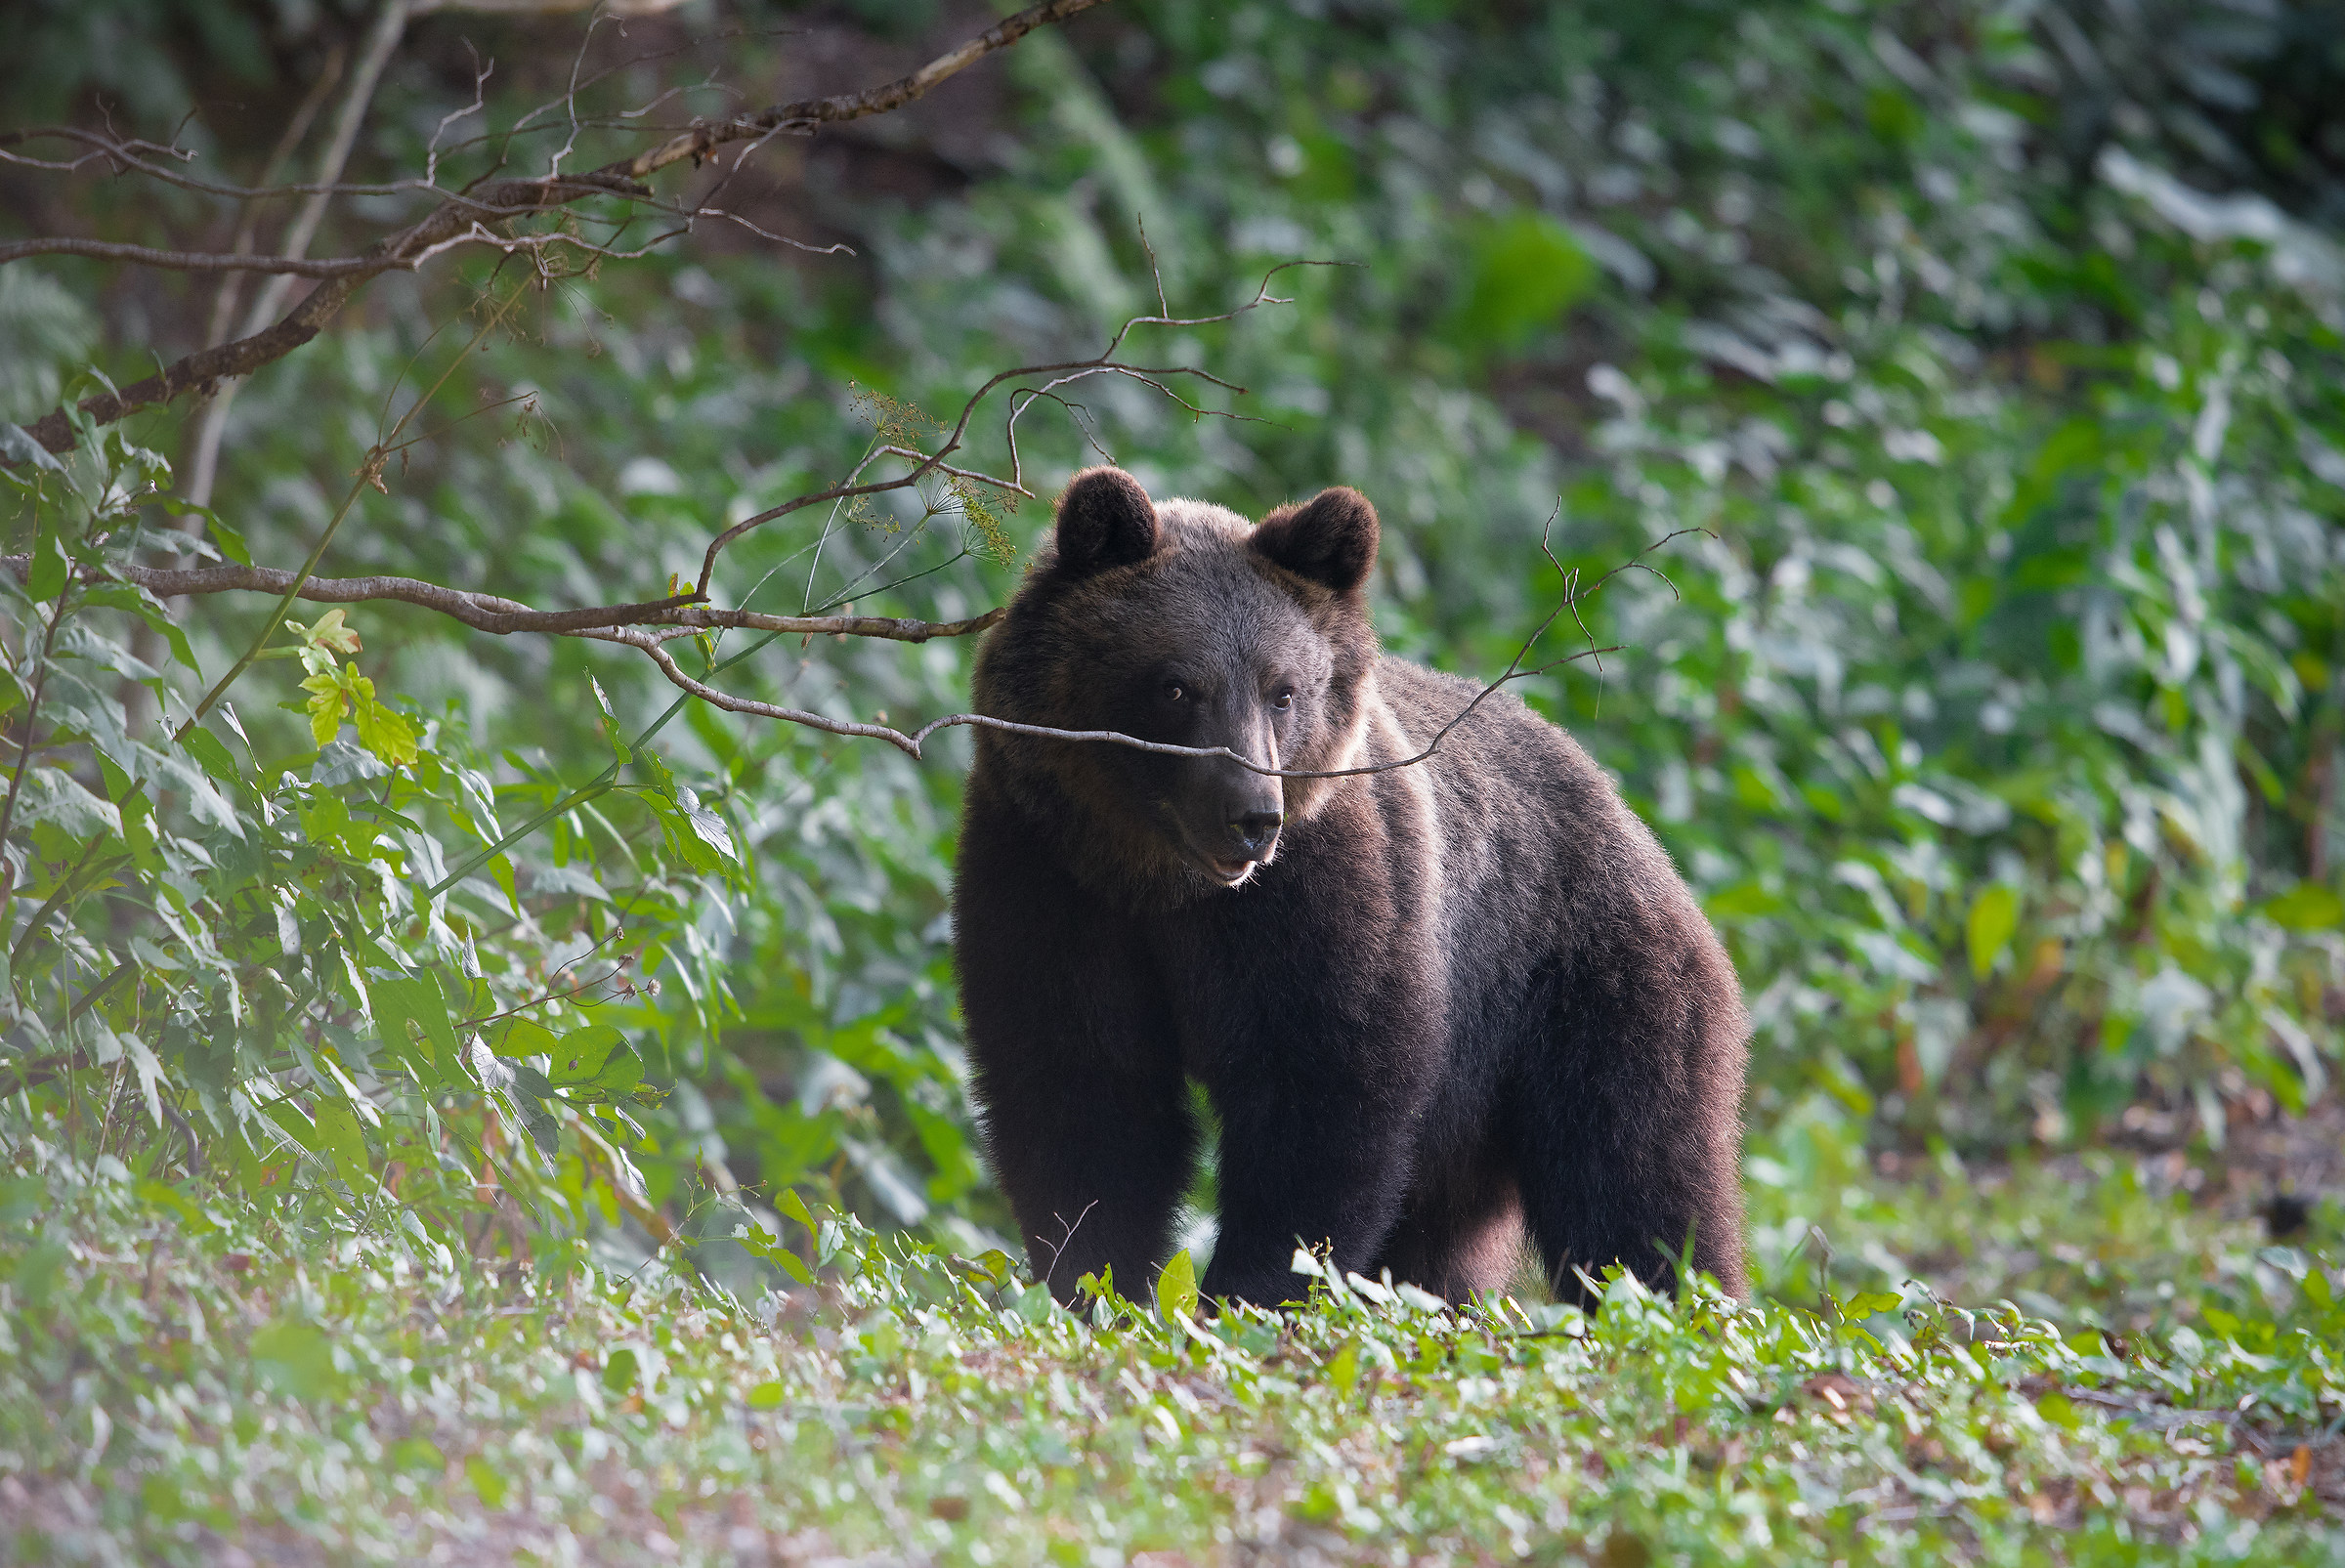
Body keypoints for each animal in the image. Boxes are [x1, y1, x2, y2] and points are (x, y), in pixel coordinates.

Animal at [951, 467, 1748, 1309]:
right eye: (1175, 686)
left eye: (1283, 690)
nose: (1251, 817)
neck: (1162, 884)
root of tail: (1642, 832)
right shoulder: (1052, 876)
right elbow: (1083, 1088)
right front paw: (1098, 1279)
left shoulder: (1325, 894)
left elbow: (1318, 1097)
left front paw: (1253, 1290)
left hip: (1582, 990)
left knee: (1636, 1183)